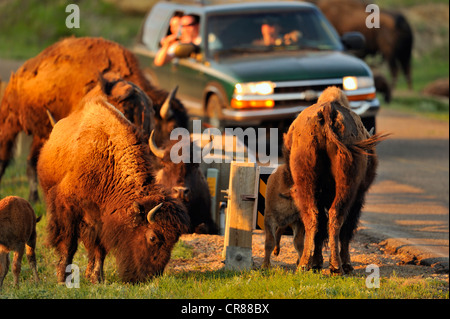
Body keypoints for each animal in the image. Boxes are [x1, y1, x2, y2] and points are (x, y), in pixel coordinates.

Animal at [0, 35, 186, 202]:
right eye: (171, 127)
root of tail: (20, 73)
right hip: (10, 122)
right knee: (5, 155)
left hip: (40, 133)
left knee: (31, 162)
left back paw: (34, 198)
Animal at [36, 96, 188, 284]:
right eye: (152, 237)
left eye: (174, 241)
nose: (150, 276)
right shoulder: (68, 207)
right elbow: (69, 244)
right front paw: (62, 278)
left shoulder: (102, 219)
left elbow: (99, 248)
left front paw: (96, 278)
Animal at [284, 87, 386, 276]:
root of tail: (328, 110)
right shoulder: (358, 198)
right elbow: (347, 229)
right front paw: (346, 264)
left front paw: (316, 263)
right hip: (348, 190)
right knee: (337, 219)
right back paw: (338, 266)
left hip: (308, 185)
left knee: (315, 217)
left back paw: (306, 265)